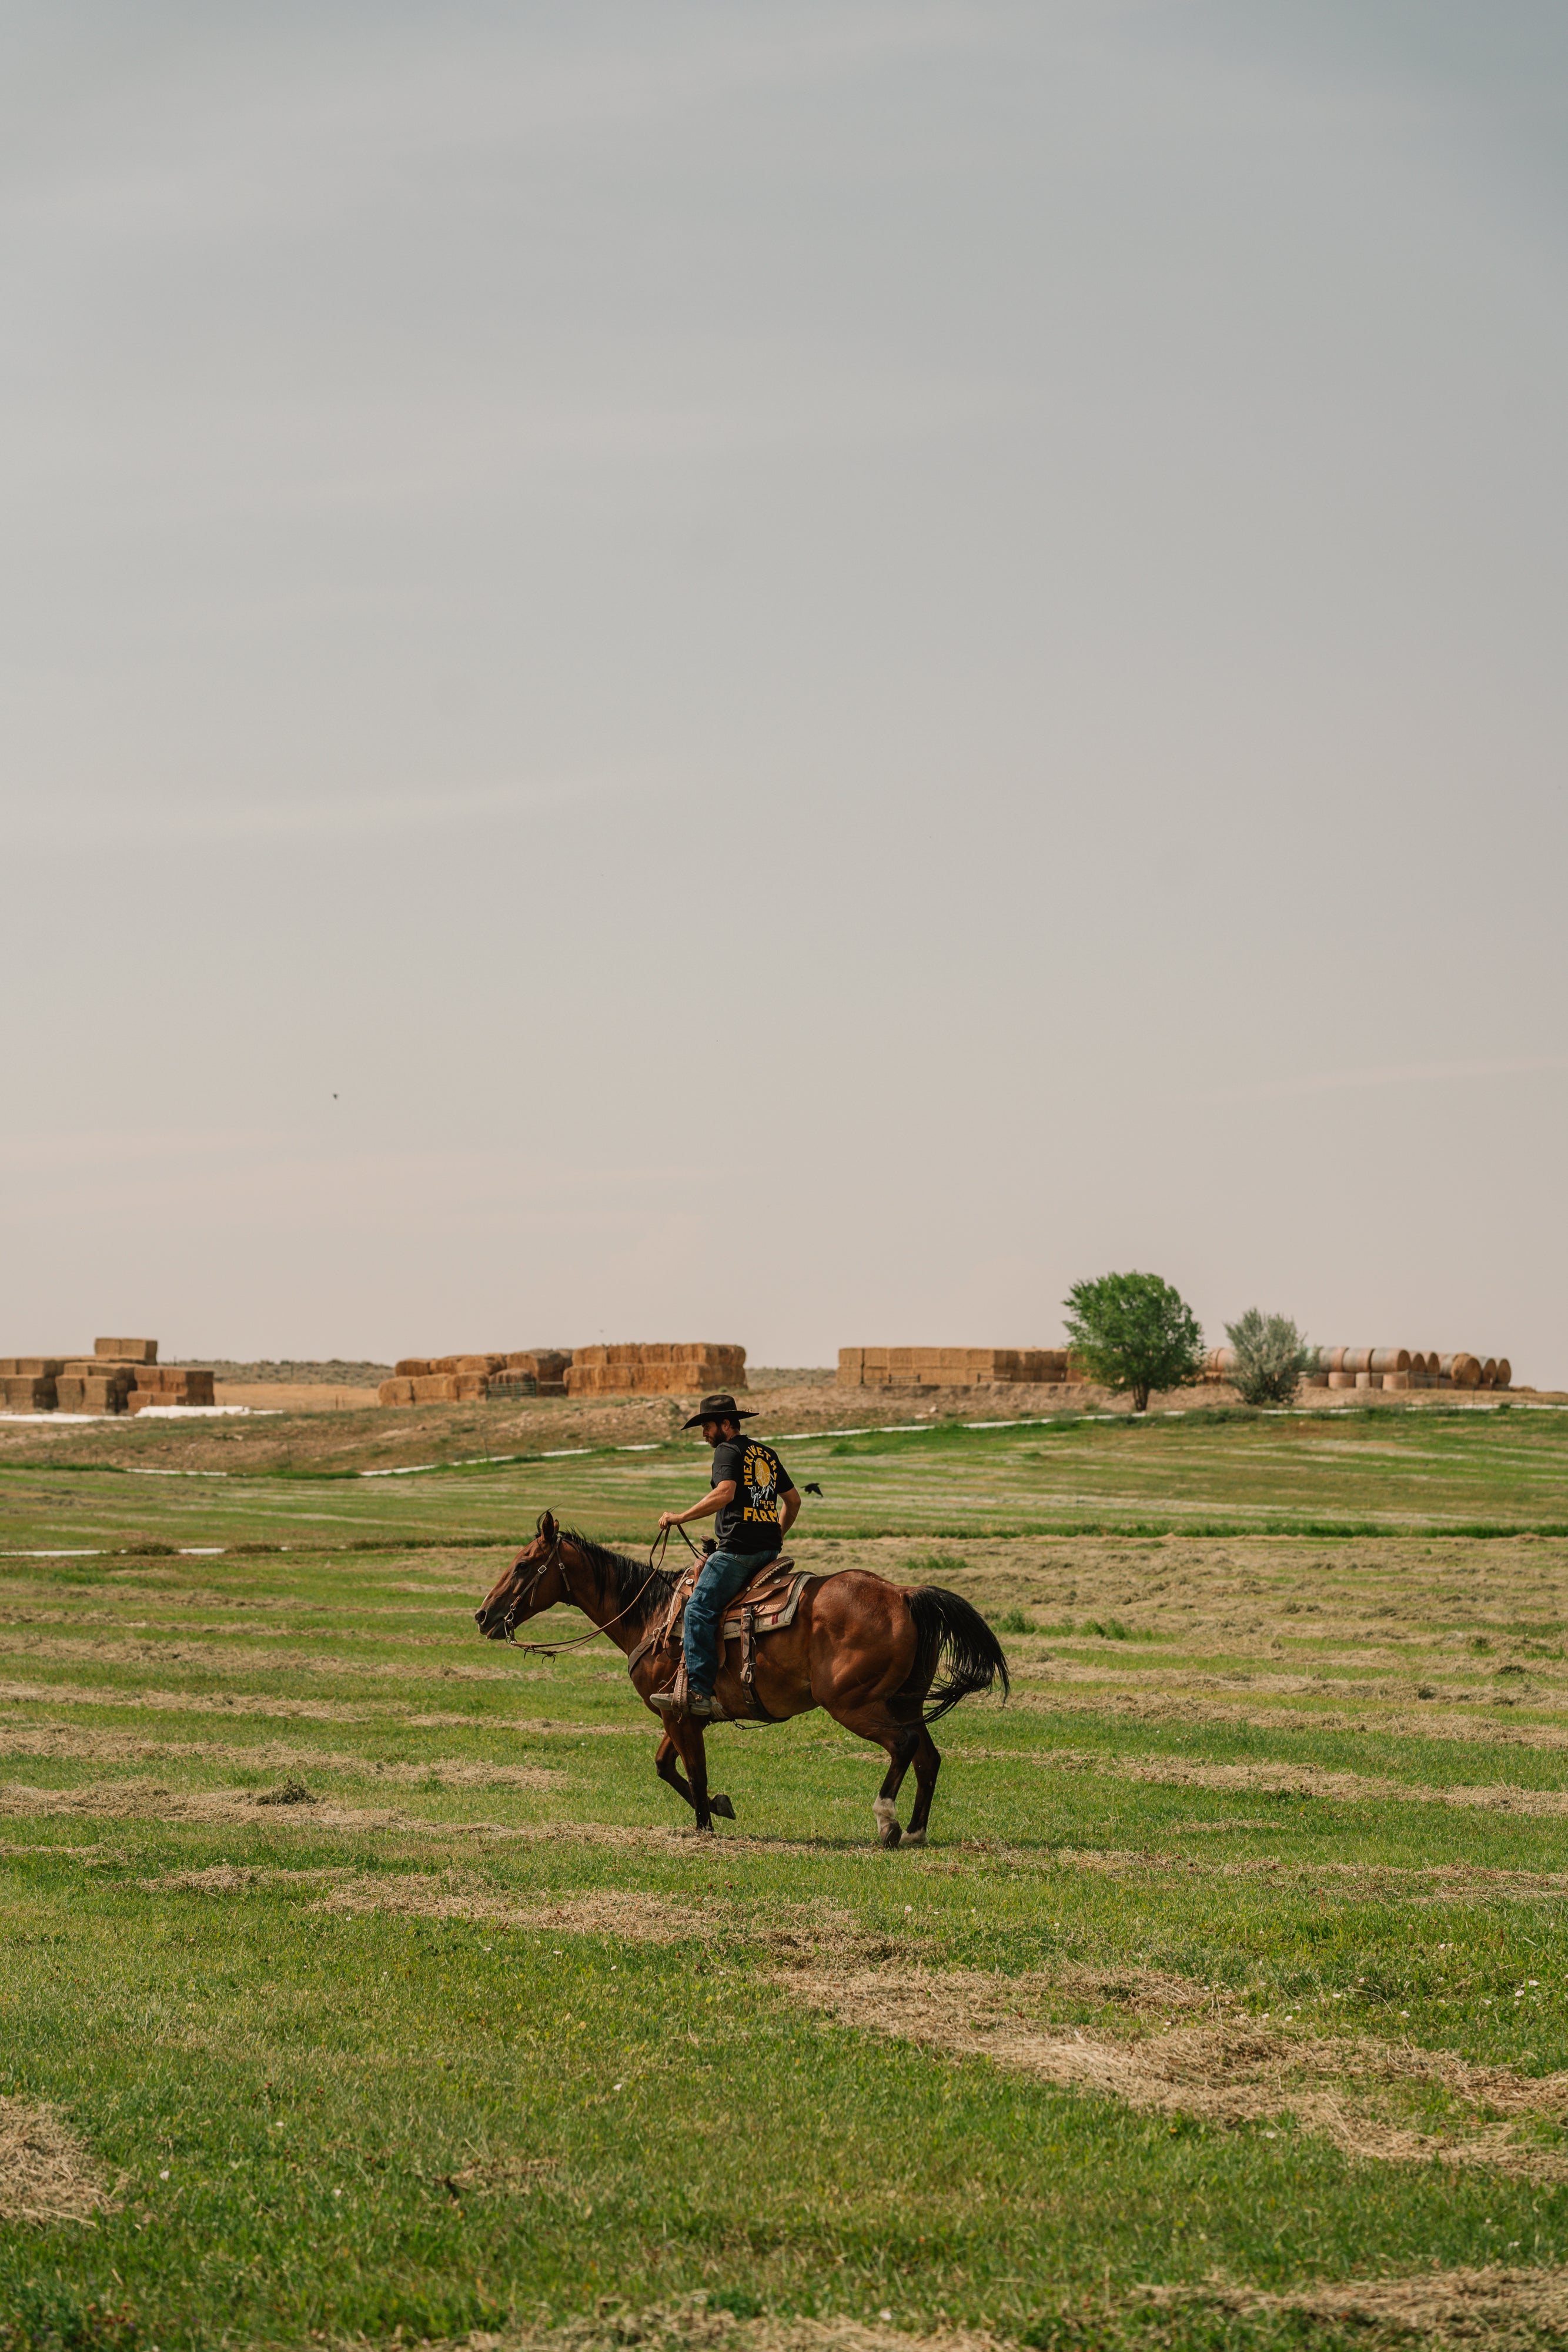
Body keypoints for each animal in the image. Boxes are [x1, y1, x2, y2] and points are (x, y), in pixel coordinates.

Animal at [474, 1515, 1006, 1844]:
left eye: (523, 1564)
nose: (483, 1616)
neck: (651, 1615)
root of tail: (902, 1593)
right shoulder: (681, 1712)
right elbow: (667, 1767)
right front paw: (719, 1807)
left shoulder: (680, 1717)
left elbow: (692, 1770)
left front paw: (704, 1828)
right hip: (904, 1700)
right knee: (927, 1756)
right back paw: (915, 1830)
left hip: (854, 1705)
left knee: (903, 1746)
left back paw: (887, 1823)